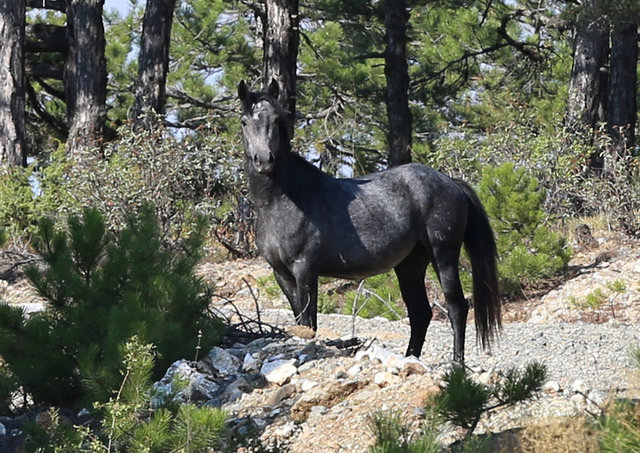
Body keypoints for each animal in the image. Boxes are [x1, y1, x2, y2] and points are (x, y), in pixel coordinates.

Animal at [239, 80, 500, 364]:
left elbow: (309, 320)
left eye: (276, 120)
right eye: (244, 121)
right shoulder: (282, 274)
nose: (264, 159)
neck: (285, 199)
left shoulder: (305, 269)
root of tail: (451, 182)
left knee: (456, 307)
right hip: (410, 266)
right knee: (420, 313)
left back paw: (457, 363)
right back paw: (410, 359)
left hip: (443, 257)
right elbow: (300, 318)